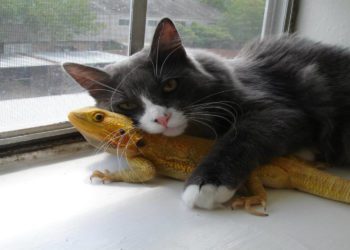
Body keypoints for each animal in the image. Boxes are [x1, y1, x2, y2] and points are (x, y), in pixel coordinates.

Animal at [63, 17, 350, 209]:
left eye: (169, 85)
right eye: (126, 105)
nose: (162, 118)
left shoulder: (283, 111)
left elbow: (241, 135)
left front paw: (207, 184)